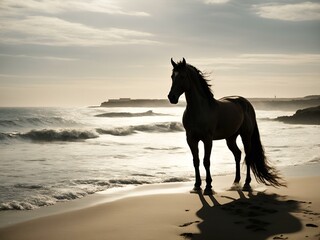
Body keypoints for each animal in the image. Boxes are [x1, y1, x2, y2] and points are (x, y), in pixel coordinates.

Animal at [168, 58, 284, 195]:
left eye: (182, 76)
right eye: (172, 76)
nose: (171, 97)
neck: (199, 110)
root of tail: (246, 103)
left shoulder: (207, 139)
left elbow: (206, 161)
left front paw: (208, 187)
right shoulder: (191, 139)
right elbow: (196, 161)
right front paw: (196, 186)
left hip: (245, 136)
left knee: (248, 156)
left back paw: (246, 184)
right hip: (230, 138)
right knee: (238, 154)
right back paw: (235, 182)